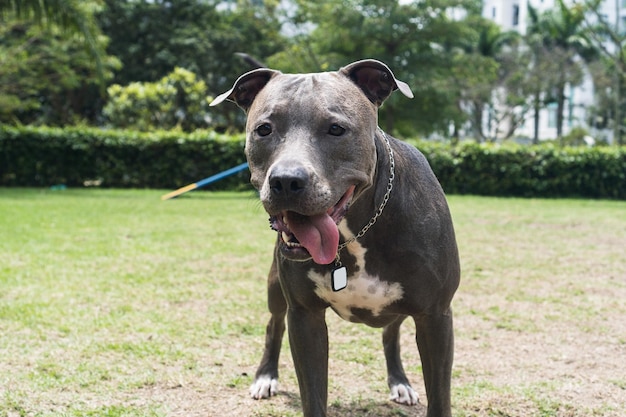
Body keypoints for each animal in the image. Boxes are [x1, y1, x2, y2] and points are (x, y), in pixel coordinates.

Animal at [210, 58, 458, 416]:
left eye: (336, 129)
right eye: (264, 129)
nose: (286, 181)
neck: (356, 233)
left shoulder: (436, 316)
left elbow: (439, 398)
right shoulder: (305, 317)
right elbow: (313, 394)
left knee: (391, 332)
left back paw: (400, 382)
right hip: (275, 288)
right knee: (274, 325)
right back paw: (265, 377)